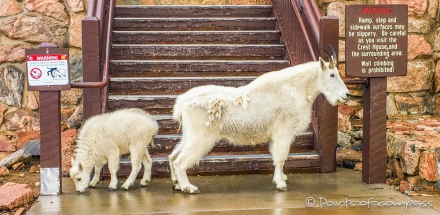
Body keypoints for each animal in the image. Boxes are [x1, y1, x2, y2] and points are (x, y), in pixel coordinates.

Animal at [168, 49, 350, 193]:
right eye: (332, 74)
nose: (347, 95)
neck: (297, 88)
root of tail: (181, 104)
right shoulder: (283, 132)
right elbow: (280, 158)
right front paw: (281, 184)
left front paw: (283, 178)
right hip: (201, 138)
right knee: (180, 161)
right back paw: (189, 188)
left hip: (189, 135)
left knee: (172, 156)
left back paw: (176, 184)